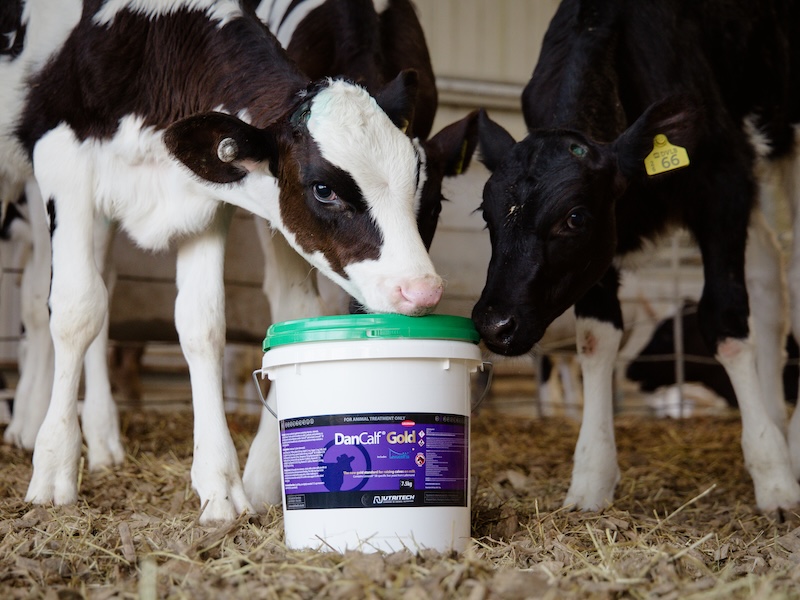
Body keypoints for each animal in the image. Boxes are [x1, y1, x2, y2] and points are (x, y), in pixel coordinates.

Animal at [1, 0, 443, 523]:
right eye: (323, 189)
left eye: (418, 185)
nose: (423, 289)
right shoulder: (62, 162)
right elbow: (75, 310)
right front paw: (53, 469)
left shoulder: (202, 202)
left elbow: (203, 327)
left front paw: (220, 486)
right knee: (47, 297)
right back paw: (31, 426)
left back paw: (104, 438)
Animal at [472, 0, 800, 514]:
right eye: (485, 214)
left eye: (575, 217)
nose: (493, 325)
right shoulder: (602, 247)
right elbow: (596, 338)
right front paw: (591, 478)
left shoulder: (724, 184)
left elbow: (725, 321)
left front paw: (774, 479)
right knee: (768, 277)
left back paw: (792, 447)